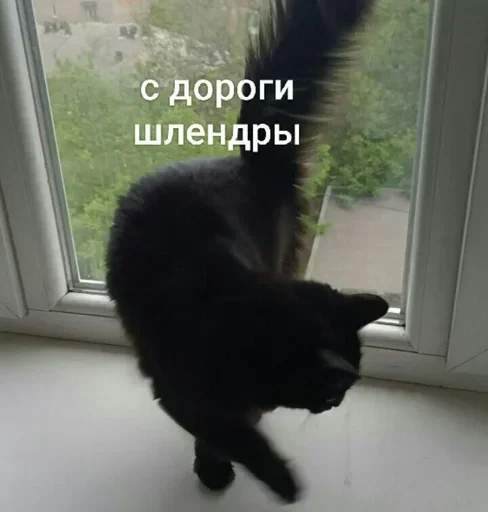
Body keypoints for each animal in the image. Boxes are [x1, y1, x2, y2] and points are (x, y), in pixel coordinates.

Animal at [105, 0, 388, 504]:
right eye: (331, 392)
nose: (335, 405)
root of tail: (249, 165)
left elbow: (232, 427)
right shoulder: (178, 391)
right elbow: (229, 432)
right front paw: (278, 480)